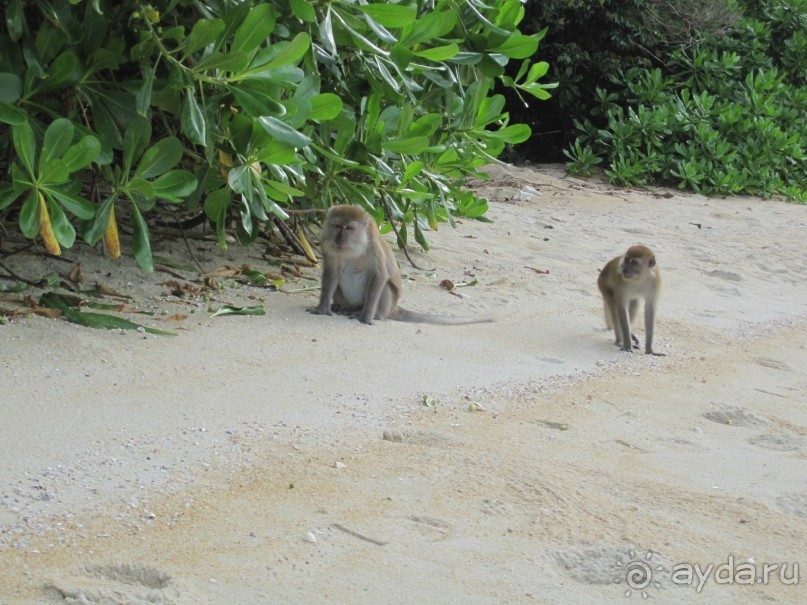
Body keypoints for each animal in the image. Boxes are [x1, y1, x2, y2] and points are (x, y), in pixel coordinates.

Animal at [310, 204, 496, 326]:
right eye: (337, 226)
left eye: (349, 228)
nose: (339, 239)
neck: (353, 248)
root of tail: (393, 309)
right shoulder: (328, 247)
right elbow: (330, 274)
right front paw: (322, 308)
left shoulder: (372, 248)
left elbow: (379, 276)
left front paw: (366, 316)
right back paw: (344, 308)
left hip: (387, 305)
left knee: (385, 287)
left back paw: (373, 314)